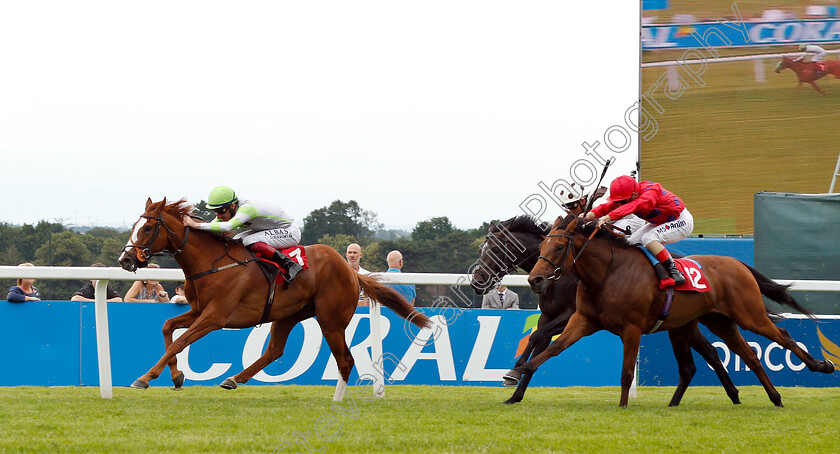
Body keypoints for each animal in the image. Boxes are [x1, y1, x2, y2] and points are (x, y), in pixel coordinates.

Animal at [118, 197, 434, 400]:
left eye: (148, 228)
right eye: (134, 225)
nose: (125, 259)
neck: (212, 263)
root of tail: (350, 270)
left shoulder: (215, 317)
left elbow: (180, 341)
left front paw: (144, 378)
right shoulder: (198, 311)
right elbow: (168, 328)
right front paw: (176, 376)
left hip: (331, 320)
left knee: (345, 359)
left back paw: (337, 401)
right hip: (288, 314)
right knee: (274, 351)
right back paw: (234, 379)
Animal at [470, 215, 740, 406]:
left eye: (496, 250)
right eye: (480, 250)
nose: (477, 282)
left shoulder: (568, 315)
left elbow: (536, 338)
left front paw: (513, 372)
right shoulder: (548, 316)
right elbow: (541, 343)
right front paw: (515, 394)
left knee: (710, 354)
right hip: (682, 324)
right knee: (711, 354)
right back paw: (733, 394)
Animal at [502, 216, 836, 408]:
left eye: (559, 248)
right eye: (542, 246)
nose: (535, 280)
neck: (608, 272)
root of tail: (737, 263)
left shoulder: (631, 328)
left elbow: (626, 372)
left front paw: (623, 407)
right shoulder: (583, 320)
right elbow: (552, 348)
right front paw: (515, 374)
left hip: (748, 314)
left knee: (782, 335)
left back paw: (821, 366)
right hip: (716, 322)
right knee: (747, 356)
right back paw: (774, 398)